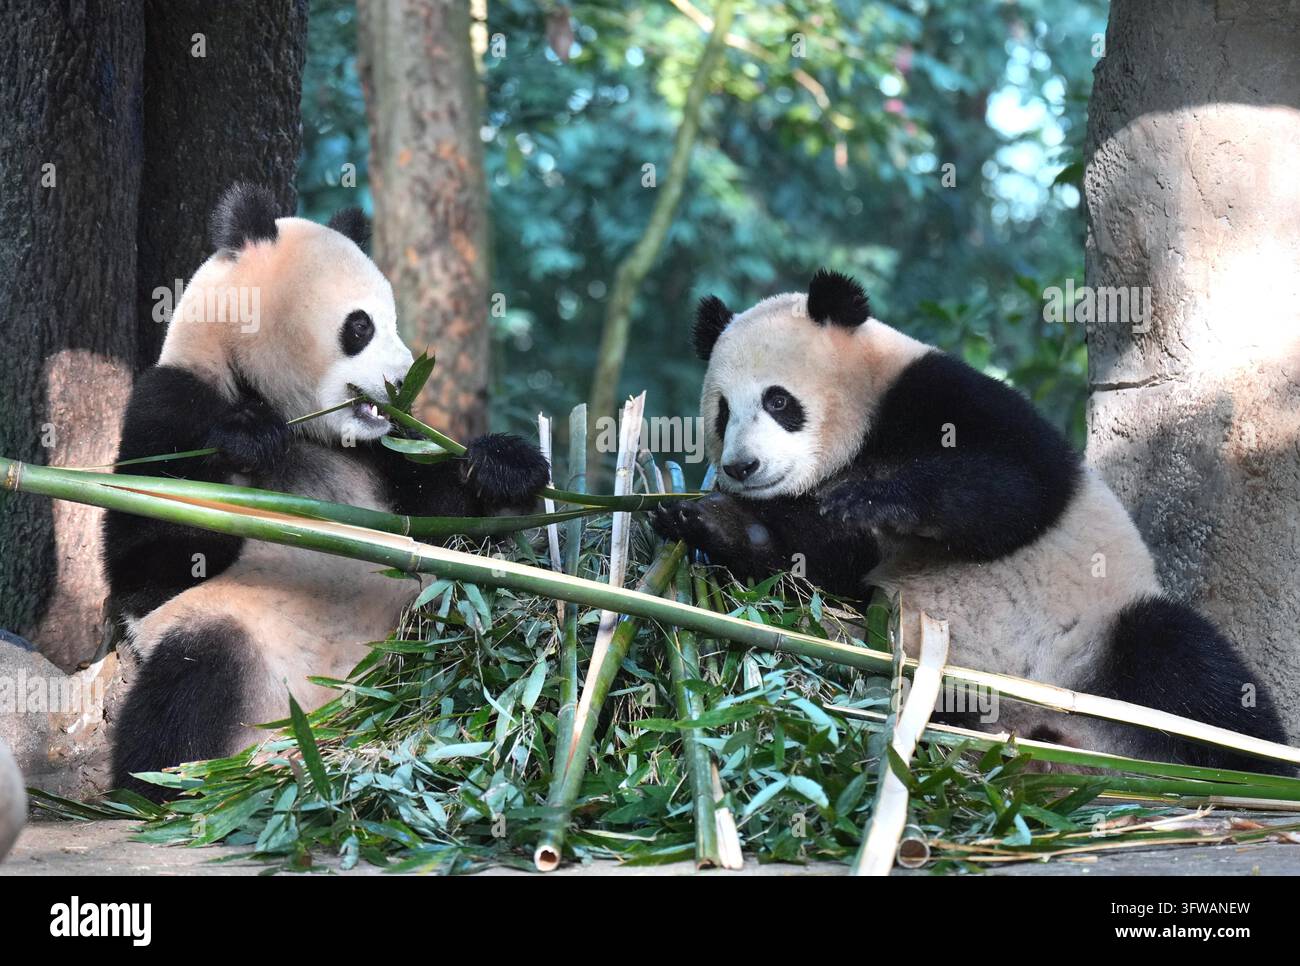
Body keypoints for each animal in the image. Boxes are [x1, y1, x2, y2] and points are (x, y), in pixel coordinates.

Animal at [105, 184, 549, 798]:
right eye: (360, 326)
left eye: (393, 321)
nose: (403, 380)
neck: (300, 423)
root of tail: (328, 729)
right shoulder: (169, 404)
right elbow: (143, 564)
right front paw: (245, 442)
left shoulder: (381, 452)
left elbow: (446, 520)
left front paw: (503, 467)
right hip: (242, 649)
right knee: (184, 689)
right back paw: (163, 789)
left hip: (419, 623)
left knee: (458, 632)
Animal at [653, 269, 1289, 772]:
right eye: (723, 412)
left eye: (779, 401)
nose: (741, 466)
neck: (855, 441)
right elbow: (809, 560)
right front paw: (699, 520)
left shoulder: (938, 393)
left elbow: (1016, 486)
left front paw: (875, 496)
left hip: (1103, 634)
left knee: (1193, 669)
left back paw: (1262, 768)